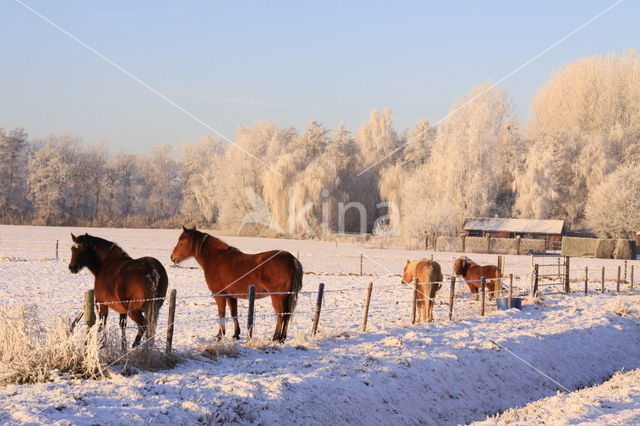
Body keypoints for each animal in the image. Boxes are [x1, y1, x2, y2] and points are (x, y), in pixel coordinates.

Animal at [169, 226, 302, 342]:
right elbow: (234, 314)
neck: (217, 259)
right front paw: (236, 334)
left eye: (181, 242)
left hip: (278, 296)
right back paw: (282, 338)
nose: (172, 258)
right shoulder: (231, 296)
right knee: (287, 315)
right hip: (286, 296)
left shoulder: (219, 295)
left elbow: (221, 314)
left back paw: (275, 337)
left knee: (281, 315)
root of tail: (292, 260)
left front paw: (220, 335)